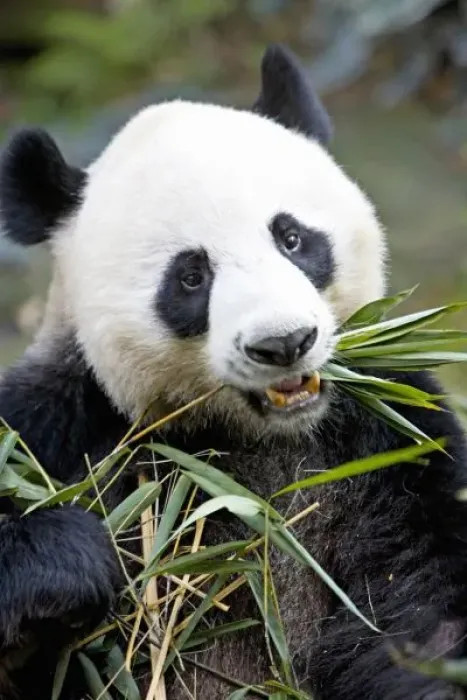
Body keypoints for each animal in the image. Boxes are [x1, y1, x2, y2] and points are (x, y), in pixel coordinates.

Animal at [0, 43, 467, 700]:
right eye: (191, 277)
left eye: (292, 238)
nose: (284, 343)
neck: (256, 440)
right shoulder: (60, 424)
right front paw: (62, 566)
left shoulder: (393, 444)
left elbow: (425, 611)